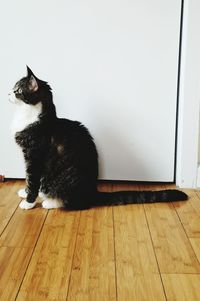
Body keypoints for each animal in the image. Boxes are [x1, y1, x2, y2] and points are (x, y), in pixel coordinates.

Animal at [9, 67, 188, 210]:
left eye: (17, 90)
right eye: (13, 88)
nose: (8, 92)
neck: (31, 116)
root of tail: (92, 191)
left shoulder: (34, 155)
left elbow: (32, 179)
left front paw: (28, 202)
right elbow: (27, 178)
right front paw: (24, 192)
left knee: (76, 203)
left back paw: (51, 202)